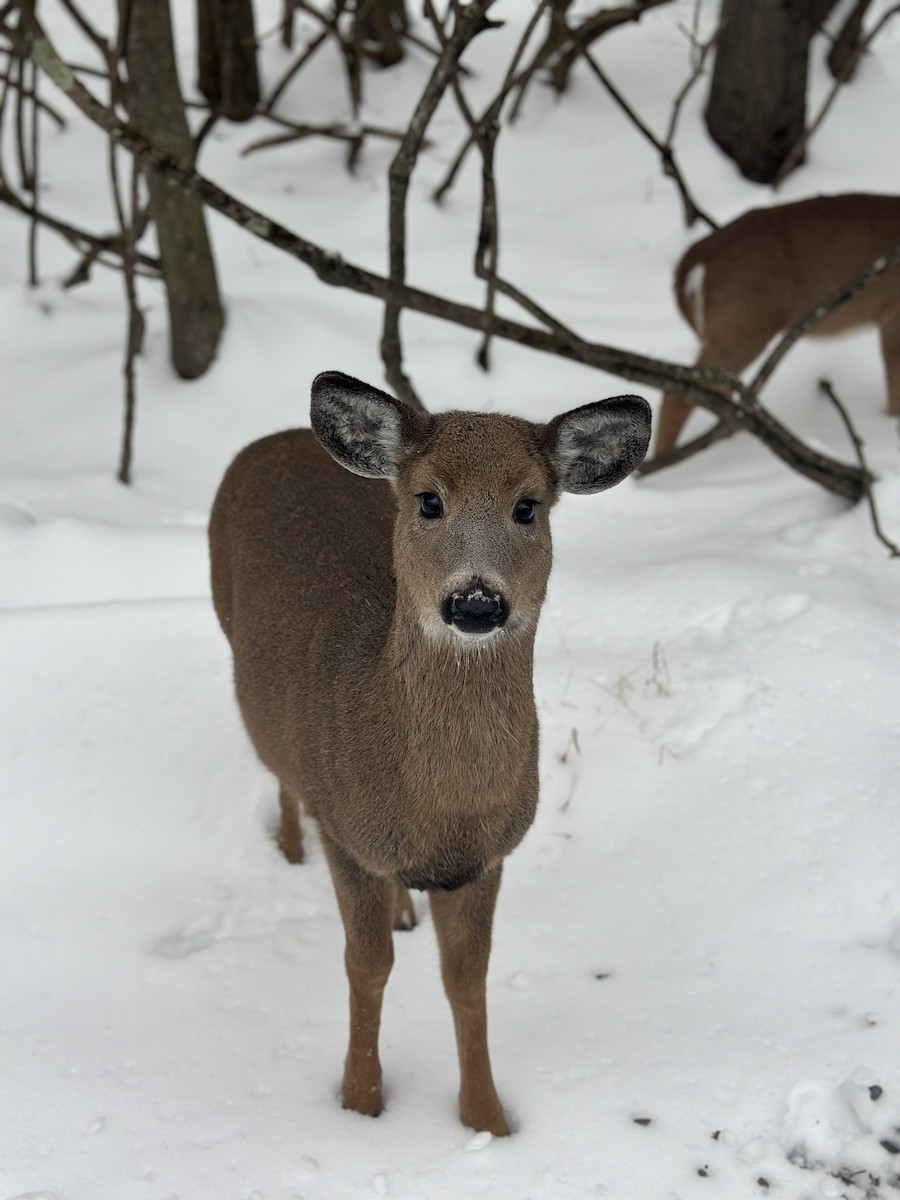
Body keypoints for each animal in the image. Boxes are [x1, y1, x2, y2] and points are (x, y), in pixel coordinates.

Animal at [208, 370, 651, 1136]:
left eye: (528, 506)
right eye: (428, 500)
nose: (476, 601)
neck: (438, 811)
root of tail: (276, 438)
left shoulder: (489, 855)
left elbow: (466, 979)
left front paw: (487, 1120)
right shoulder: (349, 837)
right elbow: (366, 967)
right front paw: (360, 1102)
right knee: (282, 772)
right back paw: (290, 849)